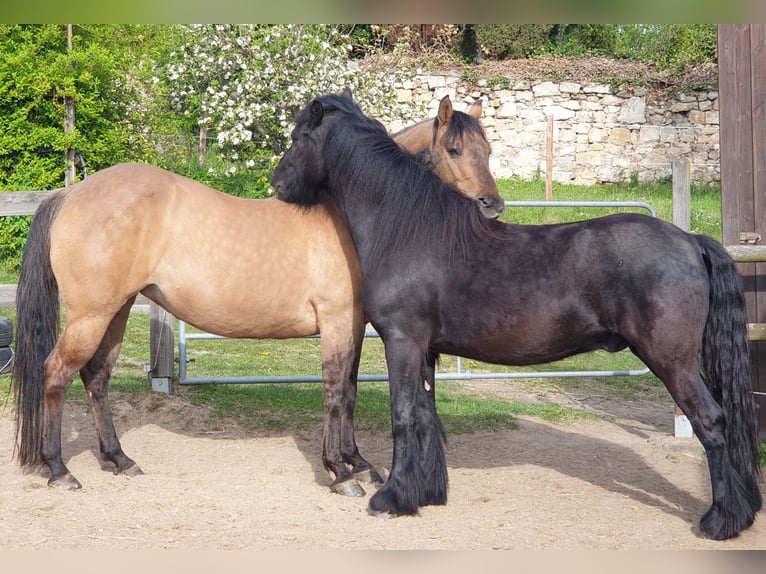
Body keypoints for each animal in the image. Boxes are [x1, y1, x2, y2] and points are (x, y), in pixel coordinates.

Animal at [12, 95, 504, 500]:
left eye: (489, 151)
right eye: (454, 150)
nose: (494, 207)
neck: (349, 217)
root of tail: (71, 192)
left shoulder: (354, 326)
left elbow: (349, 390)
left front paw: (359, 463)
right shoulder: (337, 322)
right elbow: (335, 391)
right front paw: (340, 473)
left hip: (116, 310)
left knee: (96, 377)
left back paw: (119, 459)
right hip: (90, 315)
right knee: (56, 373)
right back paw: (59, 470)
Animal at [272, 91, 764, 544]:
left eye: (297, 137)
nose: (278, 183)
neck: (409, 228)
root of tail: (690, 240)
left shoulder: (402, 341)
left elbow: (404, 414)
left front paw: (392, 498)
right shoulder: (425, 350)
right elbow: (427, 414)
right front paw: (426, 493)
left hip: (673, 362)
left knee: (712, 423)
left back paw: (721, 521)